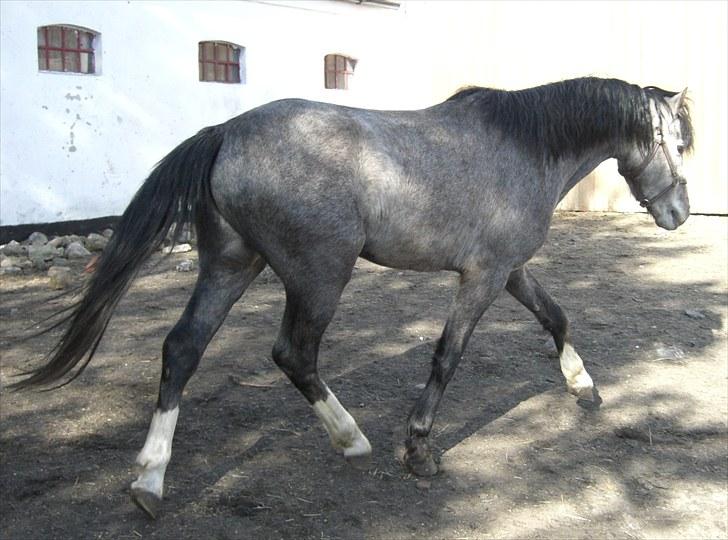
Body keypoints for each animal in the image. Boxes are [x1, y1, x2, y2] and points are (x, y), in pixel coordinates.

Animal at [11, 77, 693, 518]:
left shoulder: (509, 270)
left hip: (232, 265)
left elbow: (557, 315)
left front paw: (584, 386)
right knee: (293, 353)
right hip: (319, 276)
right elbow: (447, 356)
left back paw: (150, 480)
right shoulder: (483, 276)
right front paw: (418, 450)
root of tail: (226, 133)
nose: (680, 213)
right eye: (679, 144)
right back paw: (351, 439)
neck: (525, 146)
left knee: (183, 349)